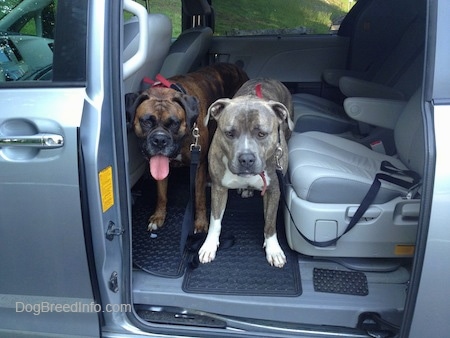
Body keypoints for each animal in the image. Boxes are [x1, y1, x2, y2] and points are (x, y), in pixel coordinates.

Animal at [126, 62, 248, 232]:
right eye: (147, 121)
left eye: (174, 123)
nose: (159, 139)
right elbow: (161, 194)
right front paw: (158, 216)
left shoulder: (198, 165)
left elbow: (199, 197)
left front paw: (201, 223)